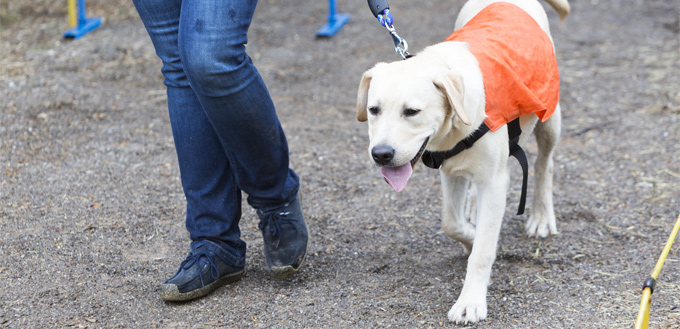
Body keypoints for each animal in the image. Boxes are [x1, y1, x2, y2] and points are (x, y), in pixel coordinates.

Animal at [356, 0, 568, 322]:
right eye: (373, 110)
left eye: (412, 111)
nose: (381, 154)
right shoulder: (449, 170)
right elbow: (451, 223)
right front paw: (470, 232)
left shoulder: (494, 183)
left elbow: (482, 251)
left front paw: (470, 302)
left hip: (549, 116)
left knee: (545, 164)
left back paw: (541, 218)